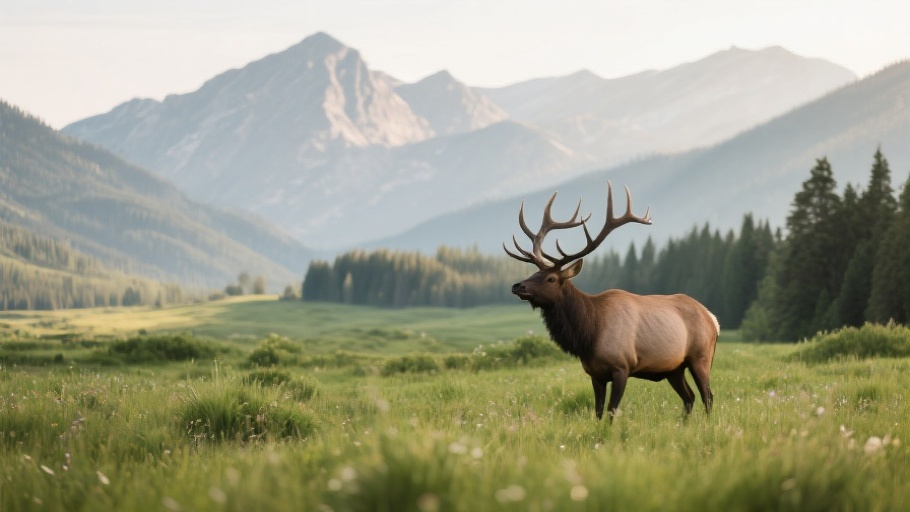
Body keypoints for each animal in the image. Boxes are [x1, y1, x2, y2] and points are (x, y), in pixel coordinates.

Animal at [504, 182, 718, 421]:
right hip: (674, 368)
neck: (588, 334)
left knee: (707, 395)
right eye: (534, 273)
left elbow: (611, 411)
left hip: (701, 356)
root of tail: (712, 318)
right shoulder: (594, 374)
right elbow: (598, 412)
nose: (517, 286)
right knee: (689, 397)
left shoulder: (622, 367)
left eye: (551, 278)